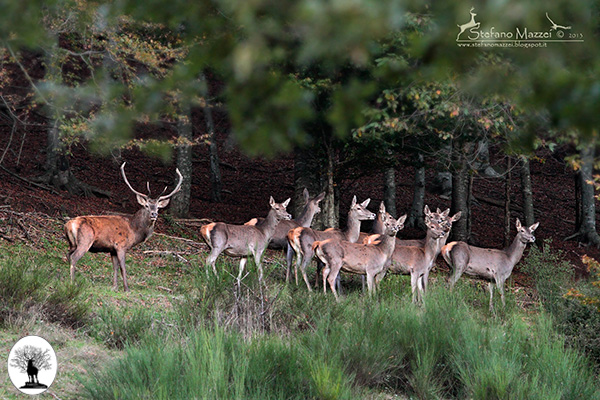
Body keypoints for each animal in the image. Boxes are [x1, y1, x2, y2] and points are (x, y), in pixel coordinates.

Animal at [65, 162, 183, 290]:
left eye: (158, 208)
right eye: (146, 205)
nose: (154, 214)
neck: (134, 230)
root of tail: (69, 224)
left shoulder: (112, 249)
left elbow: (115, 267)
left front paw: (115, 287)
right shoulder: (121, 245)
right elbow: (123, 267)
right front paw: (126, 288)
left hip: (72, 243)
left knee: (67, 254)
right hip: (85, 241)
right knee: (74, 257)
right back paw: (72, 282)